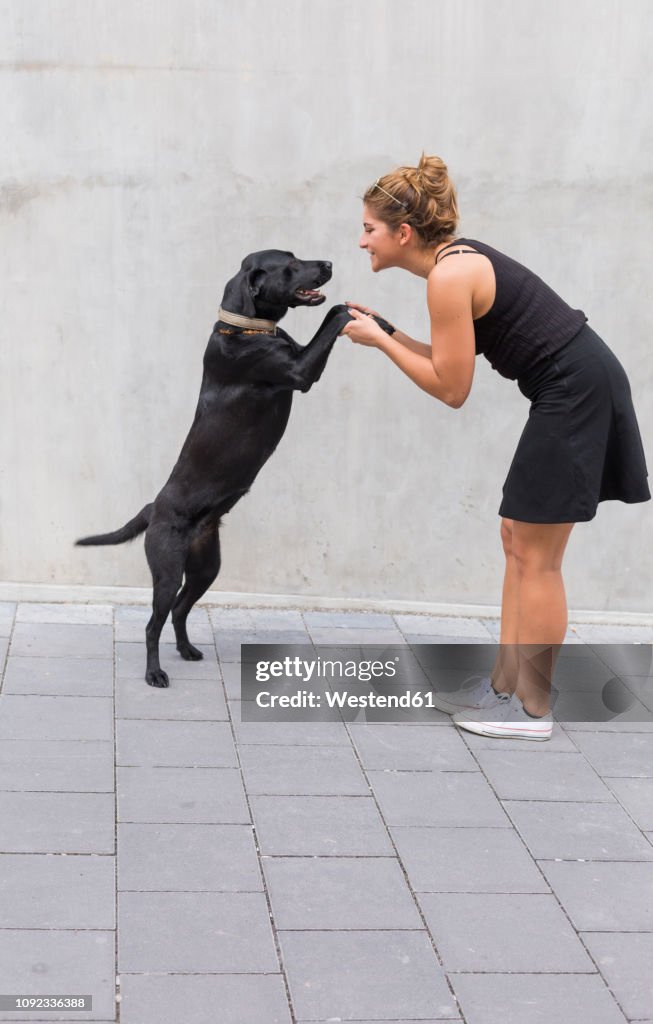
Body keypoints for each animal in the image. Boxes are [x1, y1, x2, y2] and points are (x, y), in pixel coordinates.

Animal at [76, 249, 384, 688]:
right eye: (290, 263)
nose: (327, 264)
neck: (248, 328)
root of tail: (154, 508)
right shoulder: (301, 371)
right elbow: (334, 316)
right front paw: (359, 315)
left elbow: (332, 313)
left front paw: (378, 320)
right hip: (167, 571)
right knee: (154, 622)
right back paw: (155, 673)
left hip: (206, 567)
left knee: (179, 610)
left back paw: (187, 650)